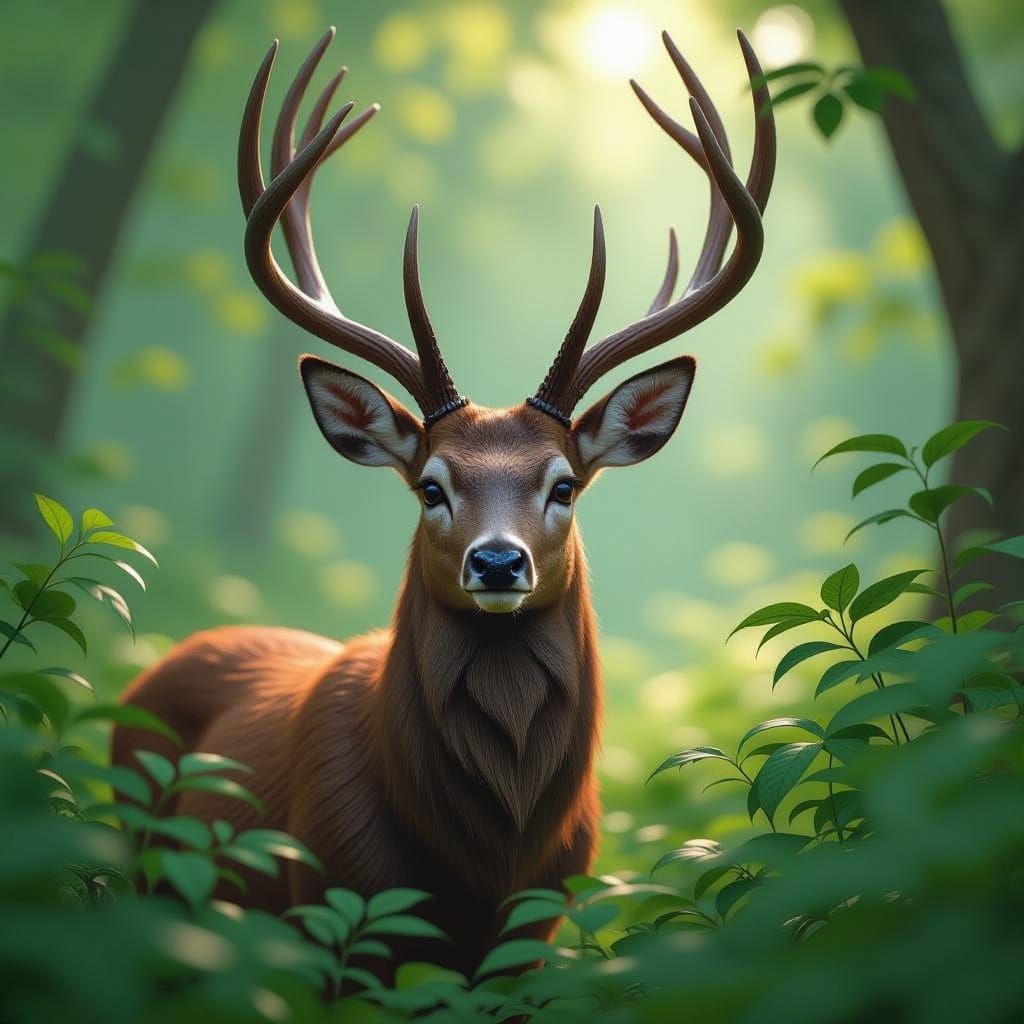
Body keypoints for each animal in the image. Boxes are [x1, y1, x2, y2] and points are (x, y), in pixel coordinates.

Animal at [113, 26, 775, 976]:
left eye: (562, 483)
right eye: (432, 485)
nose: (497, 561)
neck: (484, 861)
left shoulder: (537, 929)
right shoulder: (332, 906)